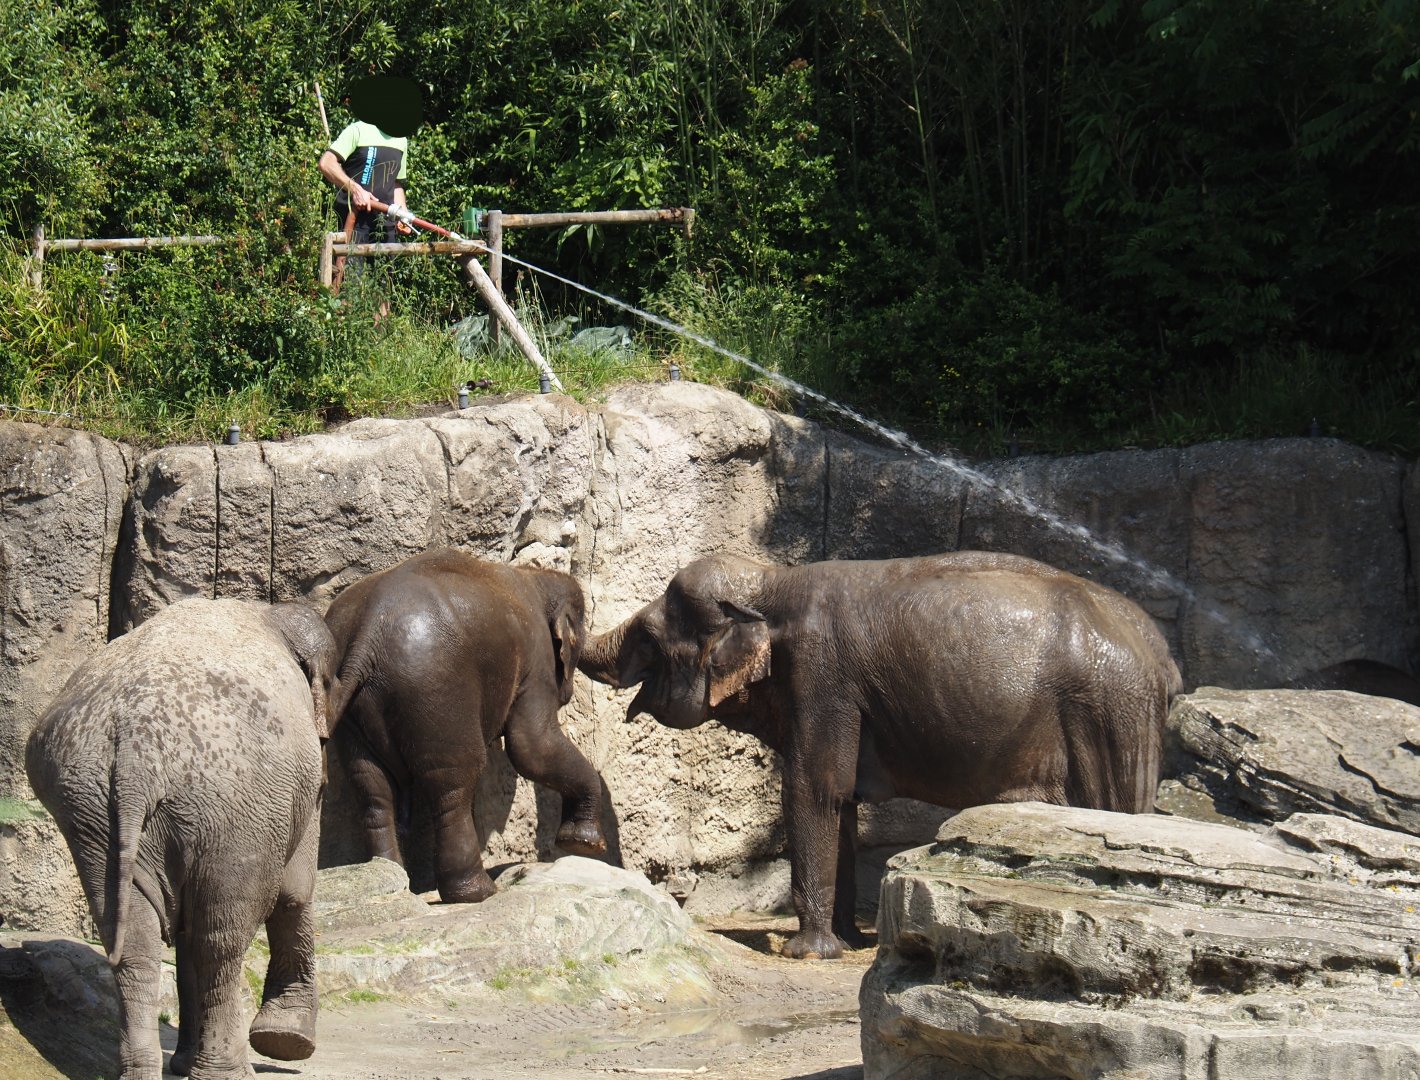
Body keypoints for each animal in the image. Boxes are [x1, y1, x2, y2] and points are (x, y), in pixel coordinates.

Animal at [25, 597, 338, 1080]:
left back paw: (144, 1071)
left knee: (133, 936)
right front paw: (286, 1043)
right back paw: (226, 1072)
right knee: (221, 935)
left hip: (89, 808)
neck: (268, 613)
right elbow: (293, 889)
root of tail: (135, 753)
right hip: (234, 804)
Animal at [324, 548, 608, 904]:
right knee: (455, 780)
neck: (533, 576)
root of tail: (367, 632)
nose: (570, 691)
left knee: (371, 786)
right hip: (437, 687)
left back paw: (392, 880)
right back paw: (478, 891)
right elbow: (532, 747)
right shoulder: (537, 657)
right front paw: (583, 844)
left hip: (353, 709)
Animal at [579, 550, 1182, 960]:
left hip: (1110, 716)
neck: (774, 582)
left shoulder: (822, 677)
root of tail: (1163, 655)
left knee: (1114, 807)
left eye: (649, 638)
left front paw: (808, 953)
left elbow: (812, 789)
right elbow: (841, 799)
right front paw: (846, 941)